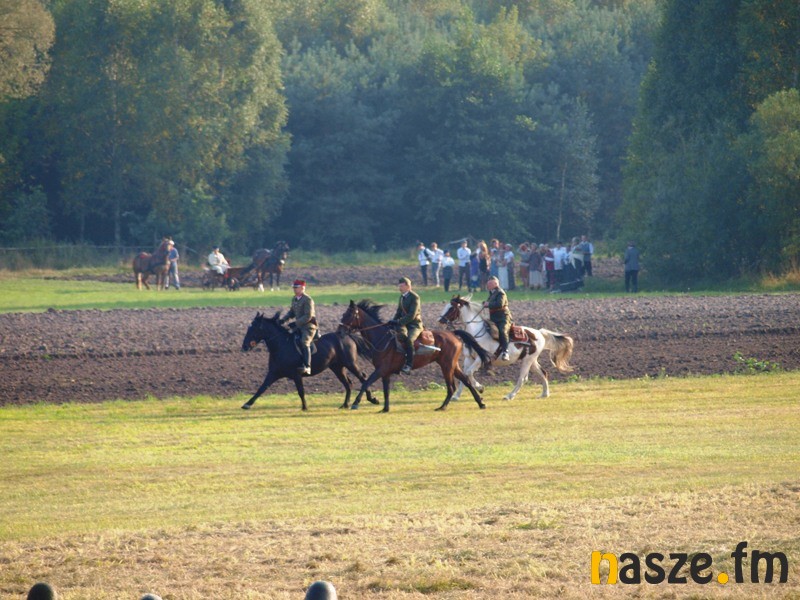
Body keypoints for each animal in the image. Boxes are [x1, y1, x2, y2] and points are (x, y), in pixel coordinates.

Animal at [240, 311, 379, 411]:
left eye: (254, 329)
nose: (245, 346)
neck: (282, 346)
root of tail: (347, 335)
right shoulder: (273, 373)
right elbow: (262, 388)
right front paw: (247, 404)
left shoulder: (296, 375)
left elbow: (301, 391)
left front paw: (305, 407)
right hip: (337, 368)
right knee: (348, 384)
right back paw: (345, 404)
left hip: (350, 364)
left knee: (363, 378)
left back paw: (371, 399)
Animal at [339, 299, 492, 412]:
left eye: (348, 315)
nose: (339, 331)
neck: (382, 338)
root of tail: (453, 334)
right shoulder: (385, 373)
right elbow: (386, 391)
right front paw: (385, 408)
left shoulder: (381, 370)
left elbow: (365, 383)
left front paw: (357, 403)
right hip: (453, 366)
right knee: (466, 381)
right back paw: (480, 403)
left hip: (446, 366)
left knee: (451, 387)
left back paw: (442, 407)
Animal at [438, 294, 574, 400]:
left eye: (451, 308)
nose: (440, 320)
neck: (476, 333)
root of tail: (539, 333)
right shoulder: (468, 358)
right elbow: (464, 376)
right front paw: (456, 396)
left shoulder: (480, 359)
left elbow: (468, 373)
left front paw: (480, 388)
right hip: (531, 360)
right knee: (543, 373)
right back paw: (544, 394)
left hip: (527, 361)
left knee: (522, 379)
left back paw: (509, 396)